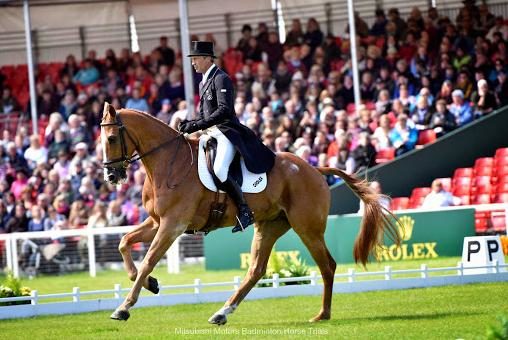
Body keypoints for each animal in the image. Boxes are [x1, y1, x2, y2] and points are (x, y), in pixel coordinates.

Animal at [100, 103, 400, 324]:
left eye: (112, 138)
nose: (111, 176)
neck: (168, 164)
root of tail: (314, 169)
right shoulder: (157, 222)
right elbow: (124, 243)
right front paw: (152, 284)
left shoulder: (173, 224)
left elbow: (149, 260)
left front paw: (124, 308)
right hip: (269, 225)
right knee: (257, 270)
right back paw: (222, 312)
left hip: (307, 228)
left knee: (327, 265)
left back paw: (322, 315)